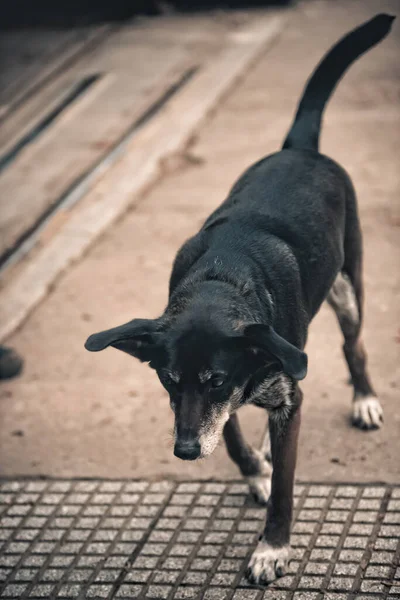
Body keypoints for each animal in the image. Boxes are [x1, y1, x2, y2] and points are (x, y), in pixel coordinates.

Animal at [84, 14, 394, 584]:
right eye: (166, 379)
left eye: (217, 379)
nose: (184, 451)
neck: (222, 280)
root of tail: (298, 147)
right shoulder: (213, 399)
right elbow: (227, 434)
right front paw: (253, 470)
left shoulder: (282, 398)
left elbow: (286, 487)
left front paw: (272, 547)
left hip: (348, 286)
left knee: (354, 346)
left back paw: (364, 399)